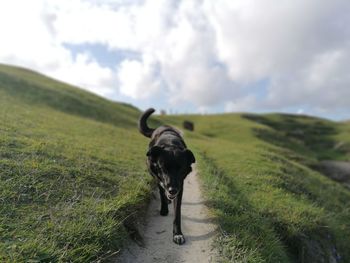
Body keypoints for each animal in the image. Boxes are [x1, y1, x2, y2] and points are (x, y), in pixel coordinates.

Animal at [138, 108, 196, 245]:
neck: (170, 144)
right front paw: (164, 209)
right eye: (163, 168)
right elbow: (161, 191)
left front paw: (178, 234)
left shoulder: (180, 185)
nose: (172, 190)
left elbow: (177, 213)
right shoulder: (158, 177)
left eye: (181, 169)